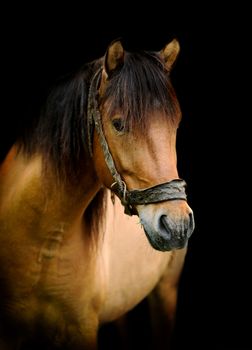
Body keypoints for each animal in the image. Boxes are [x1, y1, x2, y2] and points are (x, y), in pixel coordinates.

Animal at [0, 38, 195, 348]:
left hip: (166, 291)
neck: (42, 246)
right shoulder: (8, 331)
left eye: (175, 124)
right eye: (118, 124)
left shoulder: (82, 330)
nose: (177, 225)